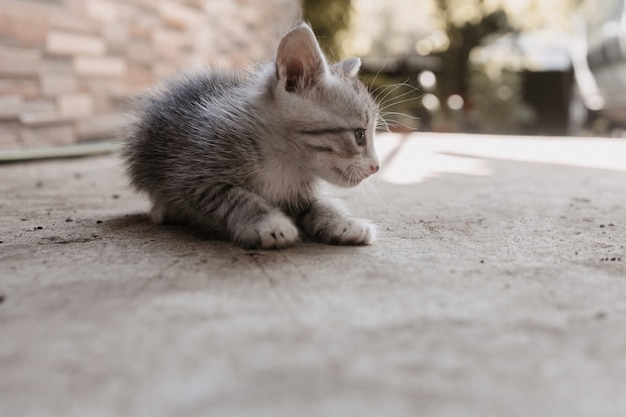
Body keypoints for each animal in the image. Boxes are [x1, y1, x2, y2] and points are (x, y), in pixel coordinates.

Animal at [120, 22, 376, 249]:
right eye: (359, 134)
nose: (376, 167)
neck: (285, 161)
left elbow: (322, 204)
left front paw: (344, 222)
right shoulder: (192, 175)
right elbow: (236, 197)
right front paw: (269, 224)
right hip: (144, 148)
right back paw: (162, 208)